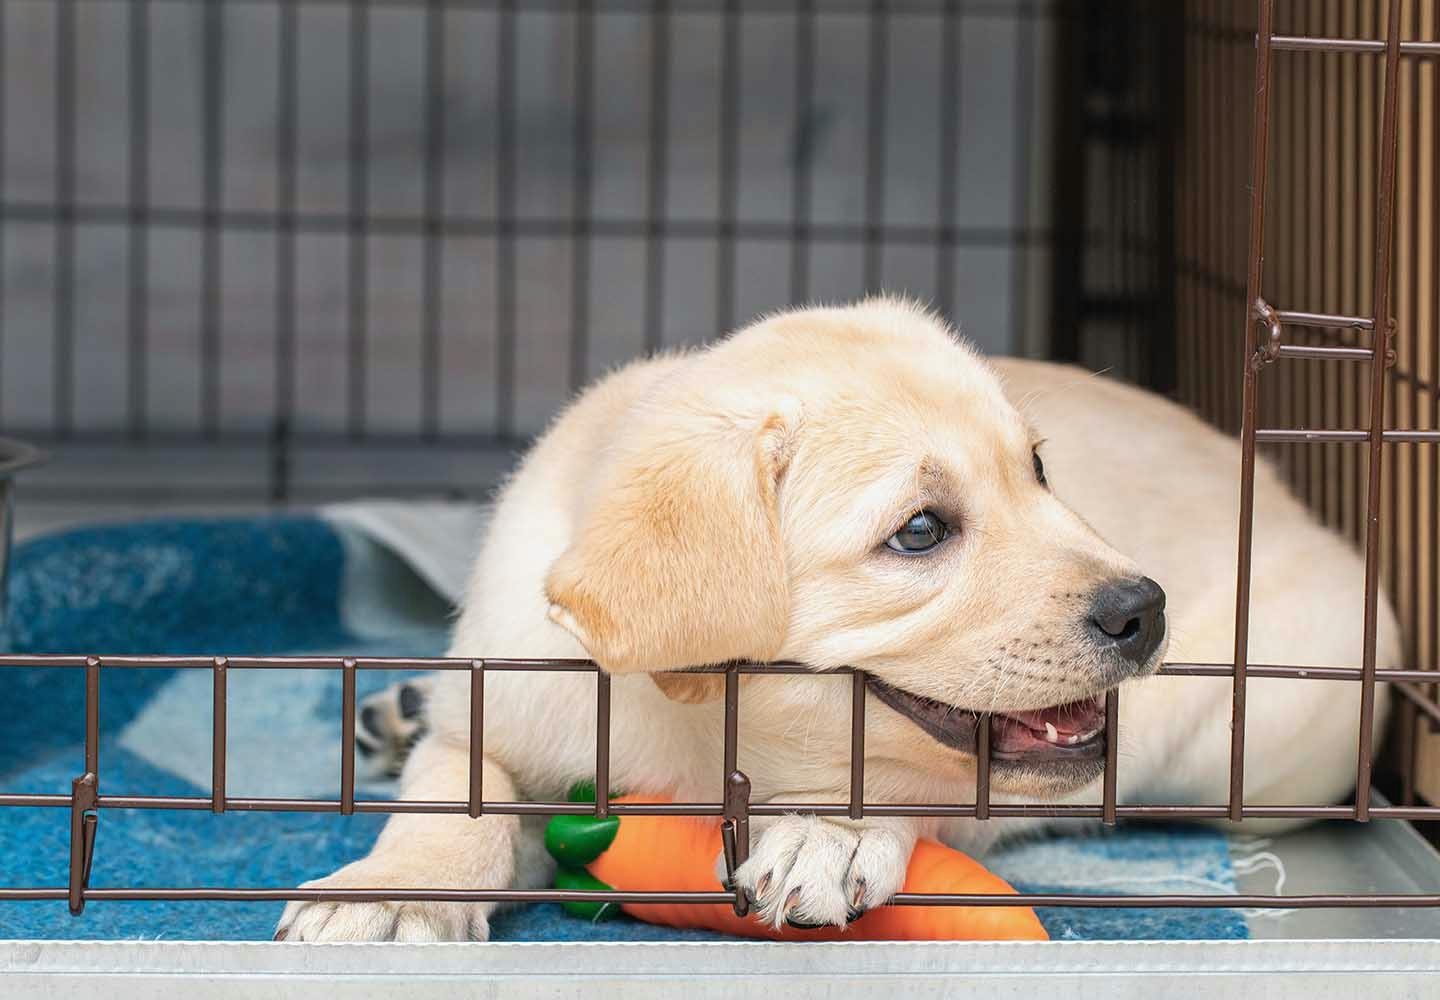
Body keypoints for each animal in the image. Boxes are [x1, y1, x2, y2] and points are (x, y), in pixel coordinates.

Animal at [277, 293, 1393, 945]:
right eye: (921, 530)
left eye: (1039, 470)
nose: (1145, 609)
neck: (700, 732)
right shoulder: (504, 702)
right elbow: (453, 793)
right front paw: (394, 888)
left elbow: (904, 779)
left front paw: (834, 831)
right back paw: (398, 710)